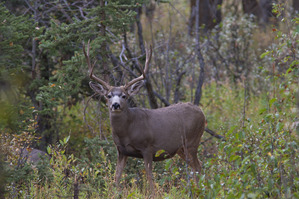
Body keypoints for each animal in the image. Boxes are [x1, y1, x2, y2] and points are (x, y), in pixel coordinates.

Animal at [83, 40, 207, 193]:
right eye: (108, 95)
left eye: (124, 96)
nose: (116, 105)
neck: (127, 131)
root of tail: (201, 112)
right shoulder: (121, 151)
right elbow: (116, 176)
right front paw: (115, 193)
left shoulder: (148, 147)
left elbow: (149, 176)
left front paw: (153, 194)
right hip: (181, 148)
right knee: (197, 166)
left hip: (192, 141)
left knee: (197, 167)